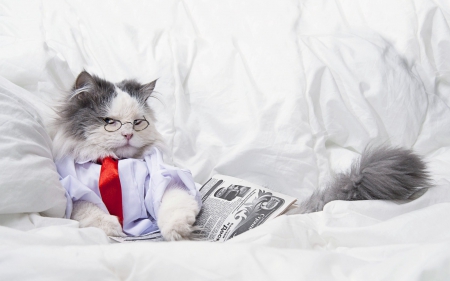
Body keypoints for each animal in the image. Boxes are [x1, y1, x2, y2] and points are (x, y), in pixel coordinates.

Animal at [51, 71, 200, 240]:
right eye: (109, 121)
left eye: (137, 122)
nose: (128, 134)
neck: (116, 160)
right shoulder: (73, 189)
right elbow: (87, 207)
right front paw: (113, 228)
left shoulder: (163, 179)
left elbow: (174, 201)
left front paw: (177, 232)